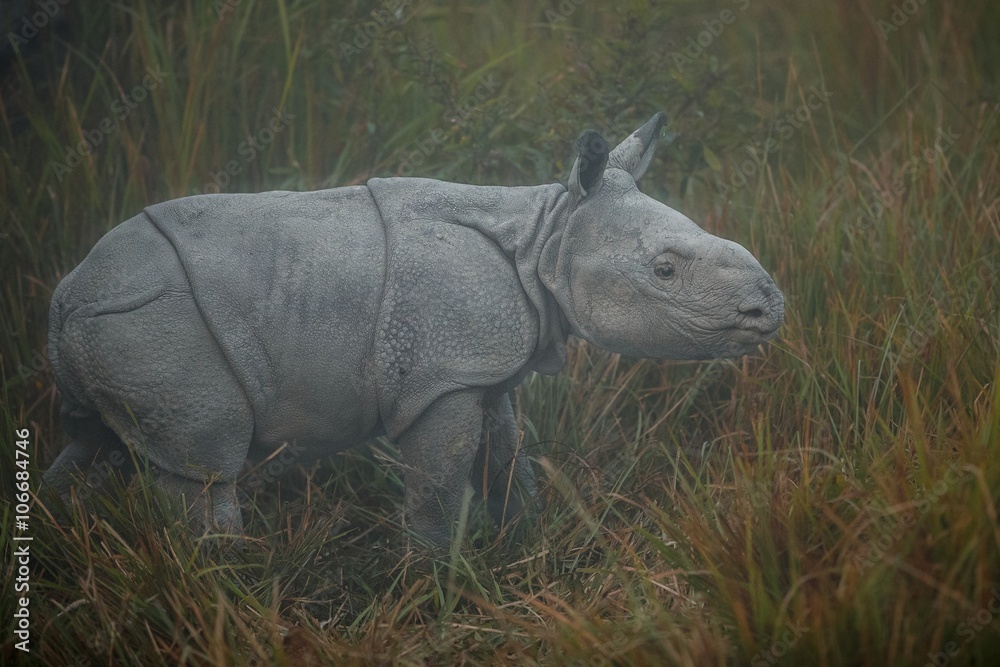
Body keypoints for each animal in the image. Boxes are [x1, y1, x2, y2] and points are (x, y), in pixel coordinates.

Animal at [43, 113, 784, 546]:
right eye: (665, 270)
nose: (769, 308)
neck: (543, 236)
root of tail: (65, 296)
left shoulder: (476, 366)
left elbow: (508, 457)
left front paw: (527, 542)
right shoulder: (439, 376)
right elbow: (441, 482)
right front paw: (439, 580)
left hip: (118, 327)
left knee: (96, 442)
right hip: (155, 322)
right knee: (200, 469)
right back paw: (231, 585)